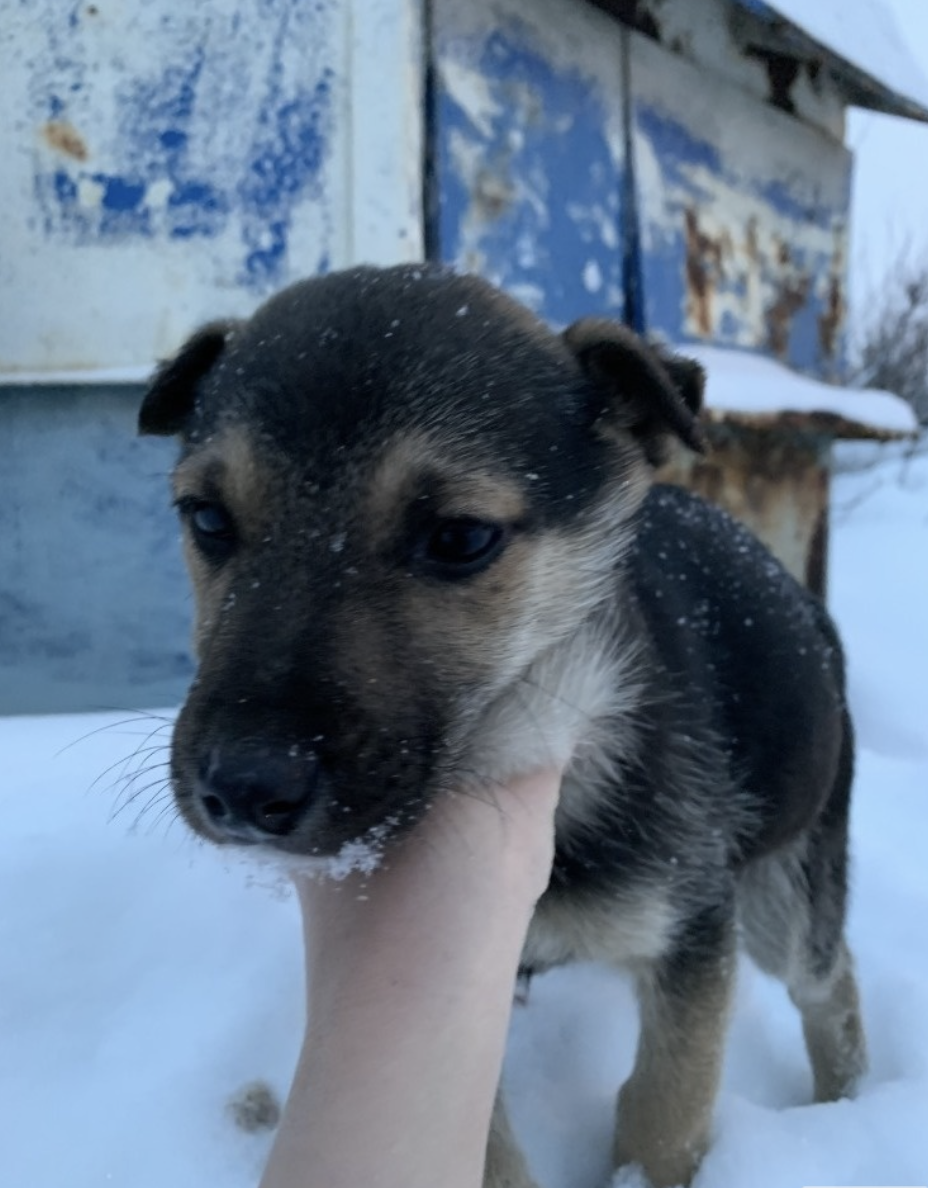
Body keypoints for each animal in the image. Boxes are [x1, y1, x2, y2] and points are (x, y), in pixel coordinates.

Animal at [139, 264, 867, 1187]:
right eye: (206, 519)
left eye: (459, 537)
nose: (240, 789)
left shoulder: (695, 934)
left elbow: (665, 1110)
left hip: (787, 882)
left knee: (828, 980)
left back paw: (848, 1102)